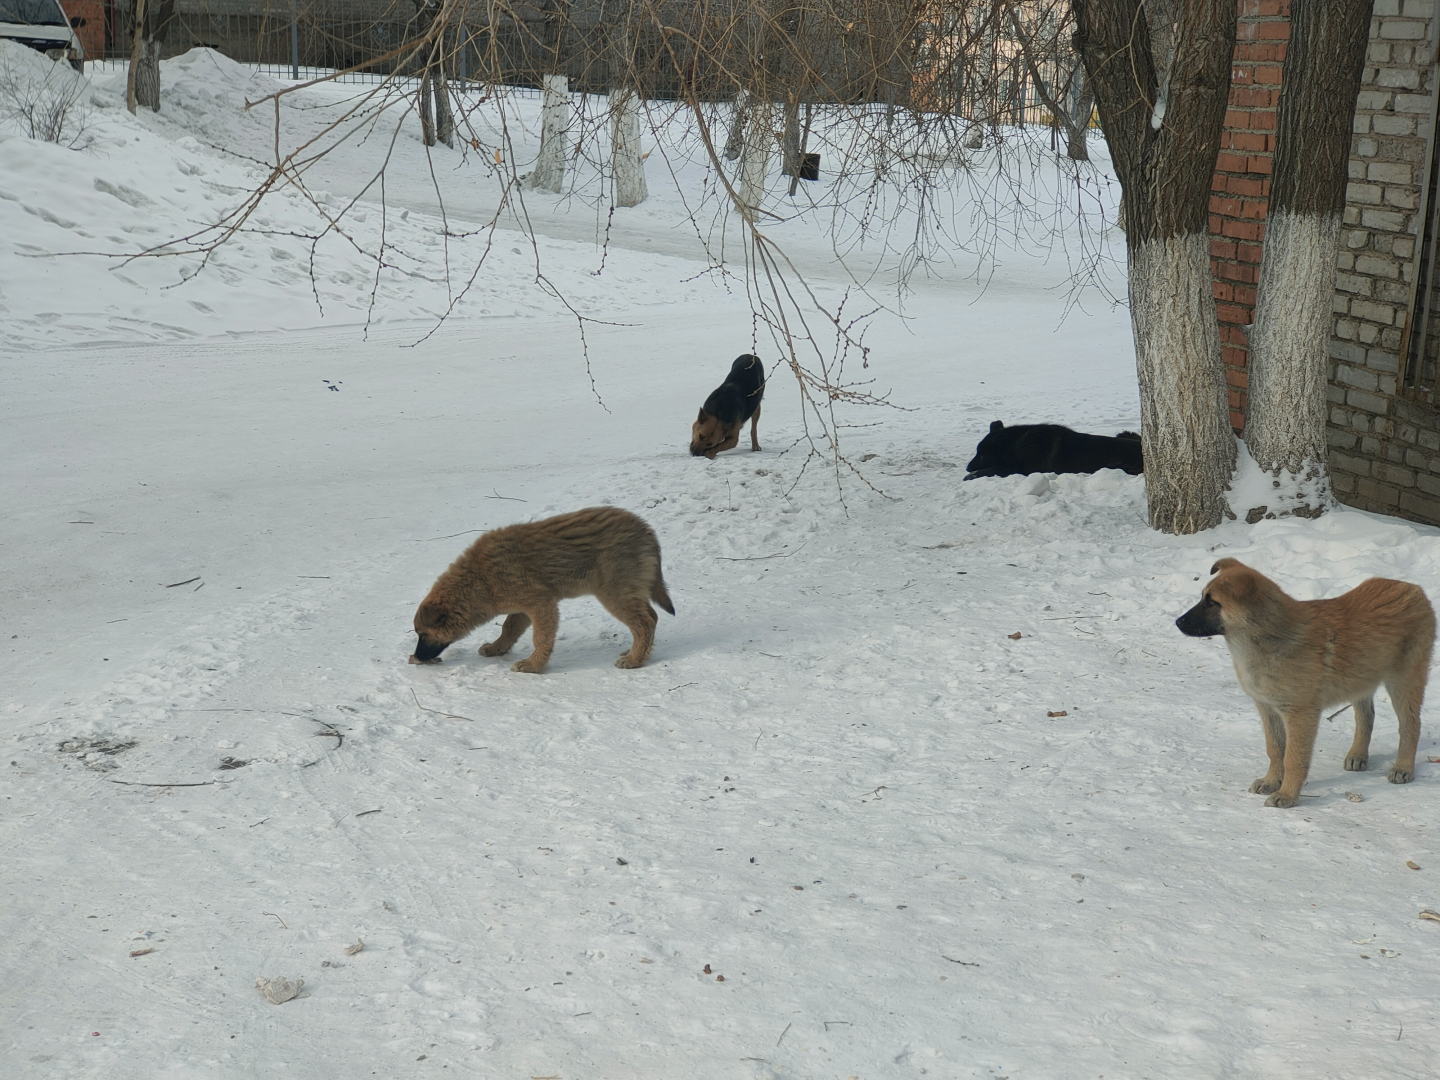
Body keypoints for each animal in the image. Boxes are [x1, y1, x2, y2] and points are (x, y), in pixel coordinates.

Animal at [408, 509, 671, 676]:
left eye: (423, 634)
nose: (416, 658)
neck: (479, 579)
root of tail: (647, 531)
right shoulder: (522, 609)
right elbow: (508, 629)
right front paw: (496, 648)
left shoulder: (541, 604)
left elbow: (540, 638)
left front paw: (533, 666)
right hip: (628, 592)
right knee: (651, 617)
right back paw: (638, 652)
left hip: (614, 593)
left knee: (645, 622)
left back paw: (635, 659)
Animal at [961, 423, 1140, 480]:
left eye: (982, 455)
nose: (968, 468)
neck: (1016, 444)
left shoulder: (1023, 470)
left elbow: (993, 469)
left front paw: (972, 476)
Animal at [1175, 561, 1434, 806]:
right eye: (1203, 598)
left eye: (1212, 603)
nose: (1177, 622)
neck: (1267, 637)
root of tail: (1414, 588)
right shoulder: (1268, 708)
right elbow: (1275, 750)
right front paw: (1271, 782)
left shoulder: (1300, 714)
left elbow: (1293, 757)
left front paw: (1287, 795)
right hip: (1361, 678)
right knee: (1366, 716)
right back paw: (1358, 755)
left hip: (1404, 680)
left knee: (1410, 724)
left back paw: (1403, 767)